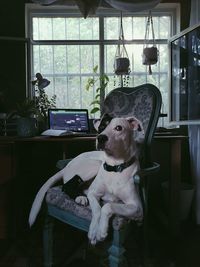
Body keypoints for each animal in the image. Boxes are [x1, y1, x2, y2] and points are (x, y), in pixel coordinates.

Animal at [28, 116, 144, 246]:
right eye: (102, 127)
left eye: (119, 128)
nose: (101, 138)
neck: (114, 167)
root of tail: (67, 166)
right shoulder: (93, 193)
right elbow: (97, 210)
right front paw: (94, 230)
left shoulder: (137, 208)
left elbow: (107, 206)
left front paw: (101, 230)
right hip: (94, 165)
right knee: (67, 185)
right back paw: (80, 197)